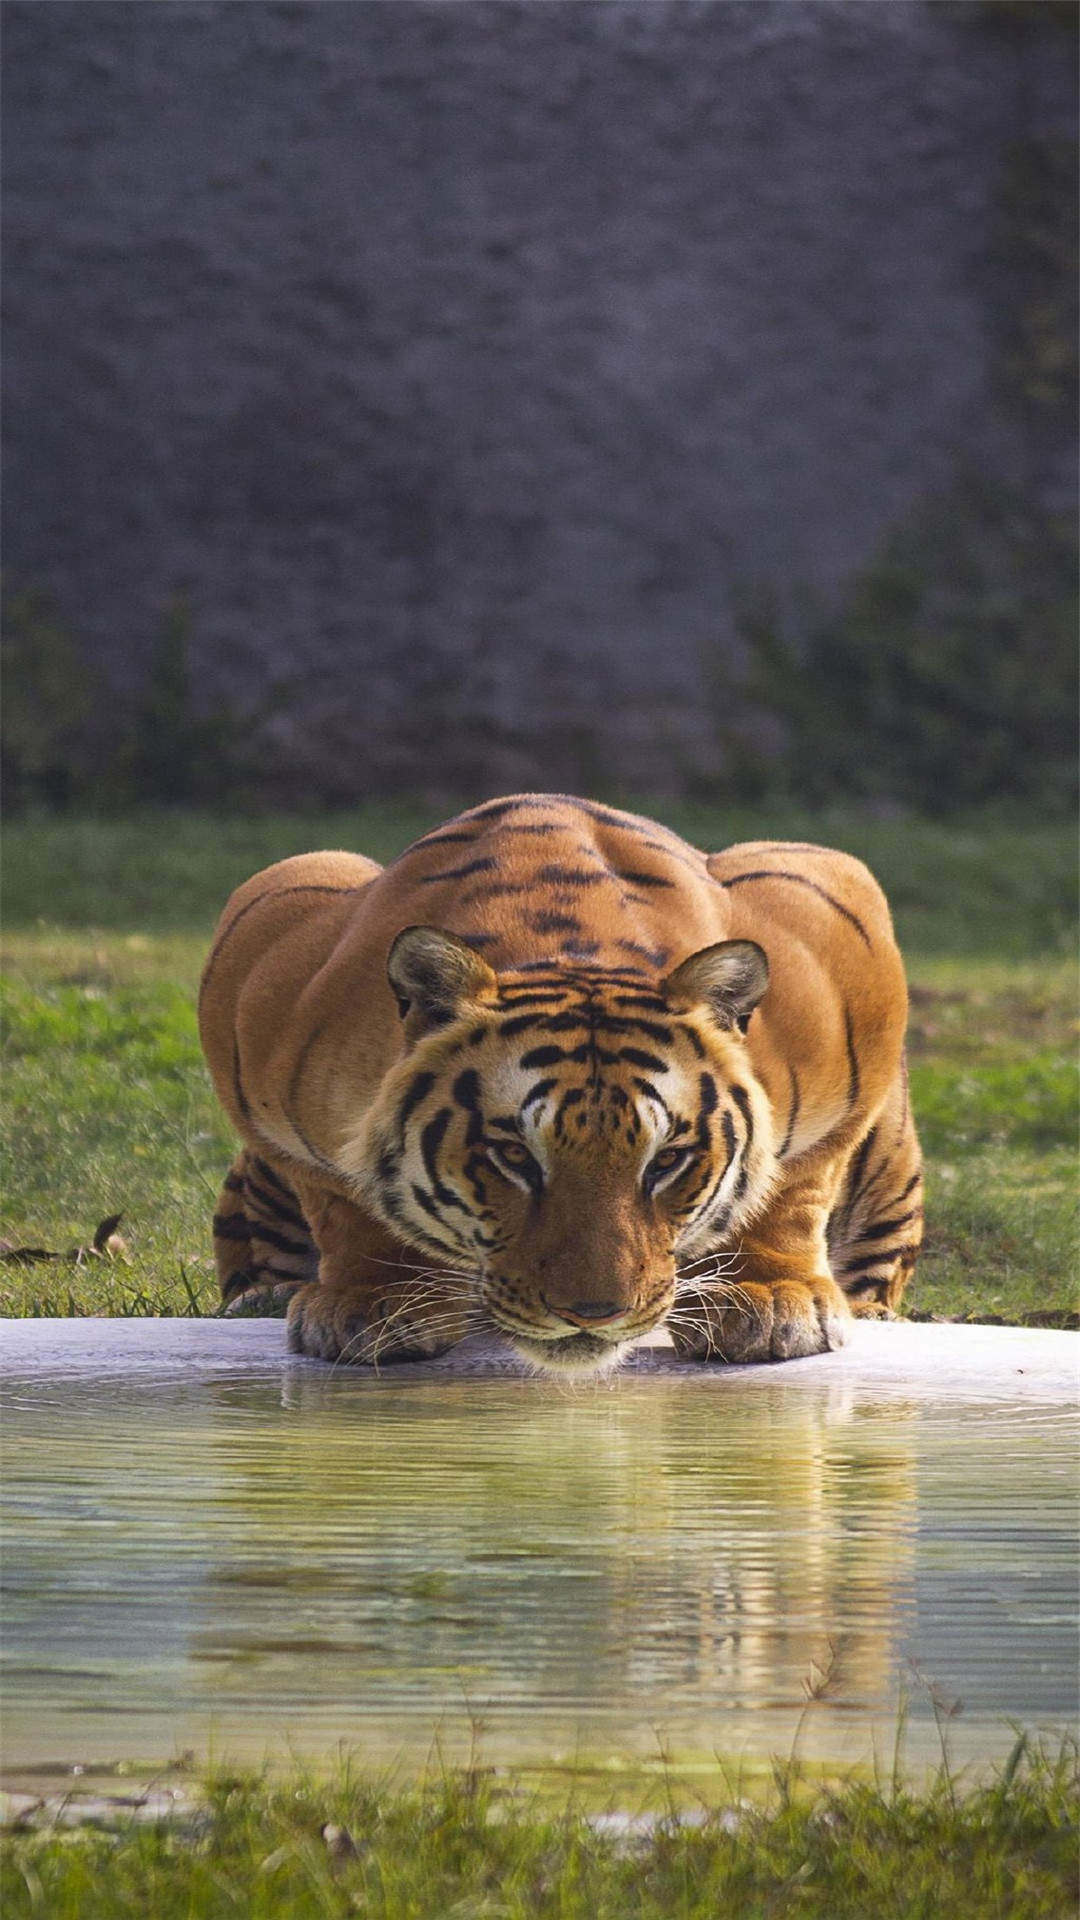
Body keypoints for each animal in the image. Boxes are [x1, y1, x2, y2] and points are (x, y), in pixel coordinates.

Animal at [198, 793, 922, 1375]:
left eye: (668, 1161)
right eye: (514, 1157)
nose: (594, 1313)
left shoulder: (838, 926)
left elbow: (795, 1182)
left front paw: (771, 1300)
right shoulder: (270, 942)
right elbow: (340, 1197)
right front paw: (372, 1302)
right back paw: (264, 1296)